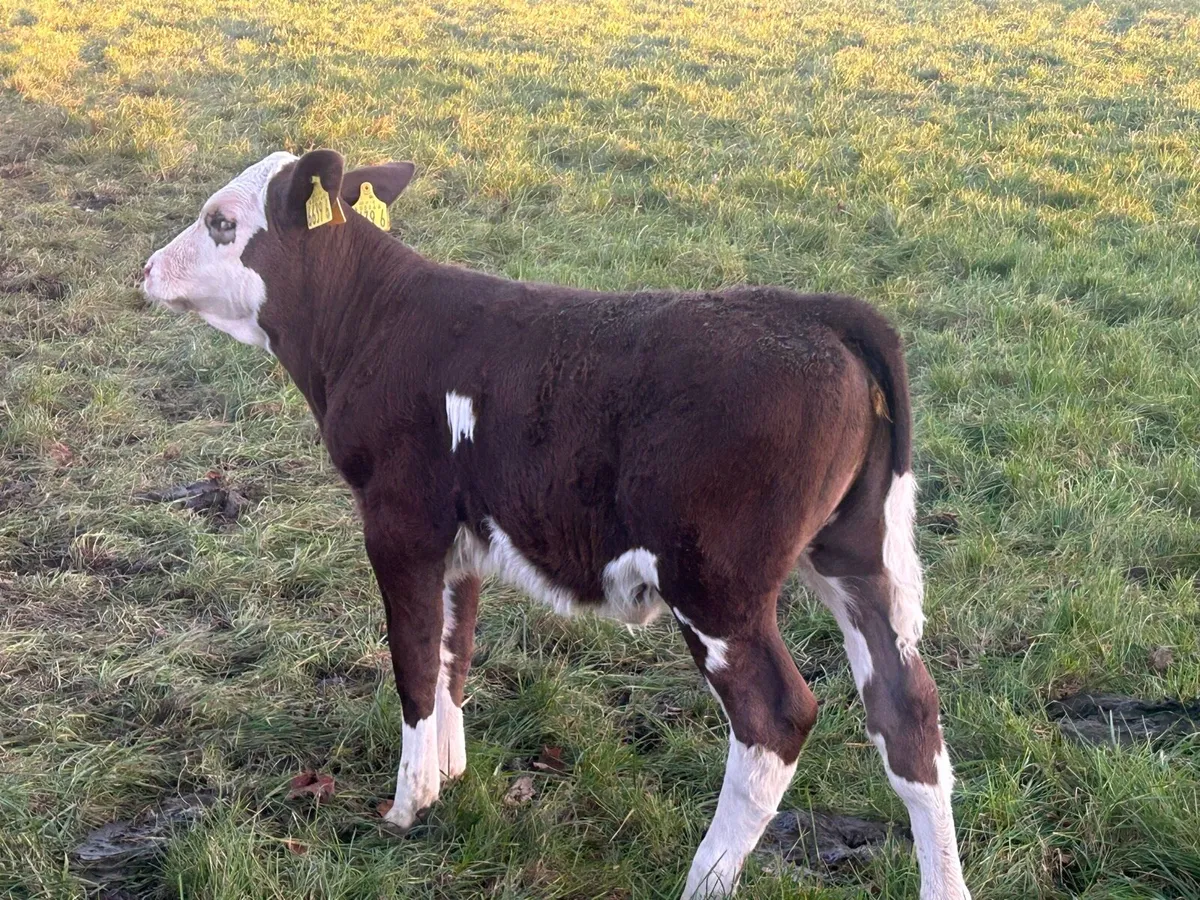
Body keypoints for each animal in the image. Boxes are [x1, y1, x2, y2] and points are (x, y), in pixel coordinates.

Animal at [141, 149, 971, 899]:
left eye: (221, 222)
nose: (147, 268)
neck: (375, 325)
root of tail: (819, 310)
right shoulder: (463, 539)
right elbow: (453, 651)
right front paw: (452, 775)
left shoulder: (399, 521)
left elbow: (412, 660)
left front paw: (408, 804)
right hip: (858, 556)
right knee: (908, 713)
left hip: (717, 582)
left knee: (776, 718)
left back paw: (704, 878)